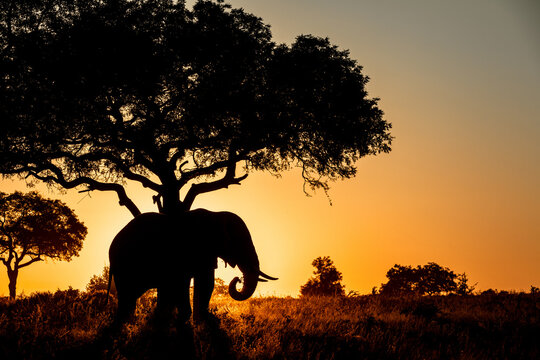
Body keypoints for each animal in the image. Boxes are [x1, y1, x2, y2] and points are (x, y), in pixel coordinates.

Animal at [106, 208, 276, 324]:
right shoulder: (189, 249)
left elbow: (206, 283)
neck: (216, 215)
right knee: (127, 295)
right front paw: (184, 320)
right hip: (125, 264)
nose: (238, 279)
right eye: (239, 243)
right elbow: (183, 282)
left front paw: (201, 322)